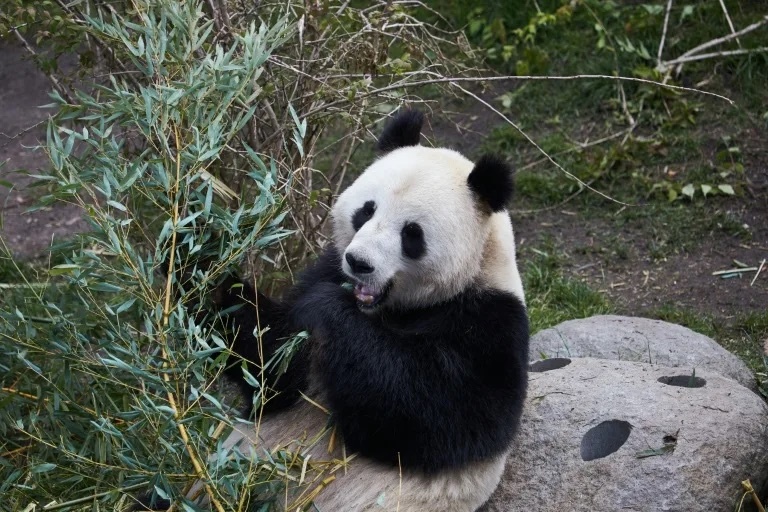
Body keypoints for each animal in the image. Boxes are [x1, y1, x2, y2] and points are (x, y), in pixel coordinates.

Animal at [143, 110, 529, 511]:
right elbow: (270, 366)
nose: (359, 263)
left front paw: (326, 307)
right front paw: (194, 245)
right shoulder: (327, 268)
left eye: (412, 234)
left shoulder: (489, 326)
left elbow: (434, 416)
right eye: (366, 210)